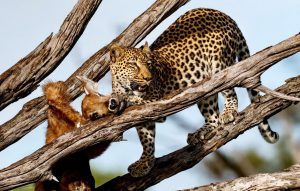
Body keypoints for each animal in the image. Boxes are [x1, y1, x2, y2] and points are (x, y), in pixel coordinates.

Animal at [108, 7, 278, 178]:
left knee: (230, 89)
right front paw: (145, 163)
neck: (124, 86)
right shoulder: (144, 118)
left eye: (149, 64)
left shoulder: (156, 104)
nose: (148, 78)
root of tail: (224, 14)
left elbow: (137, 102)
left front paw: (120, 101)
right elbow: (146, 139)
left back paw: (229, 112)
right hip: (205, 87)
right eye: (133, 65)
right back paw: (200, 132)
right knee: (213, 117)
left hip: (220, 65)